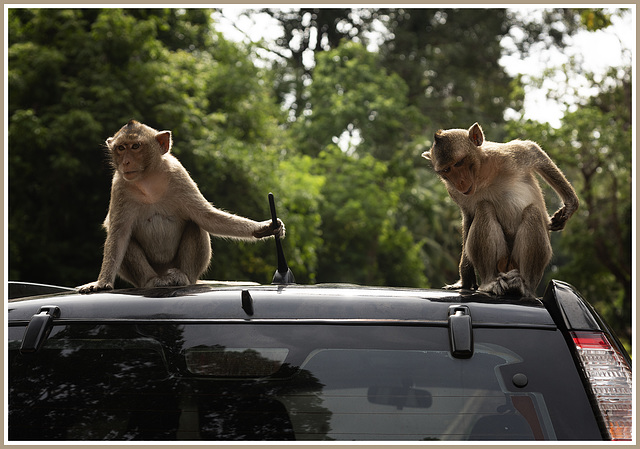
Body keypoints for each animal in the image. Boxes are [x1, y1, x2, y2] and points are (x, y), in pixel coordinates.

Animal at [77, 120, 282, 294]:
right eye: (120, 148)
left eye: (135, 146)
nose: (125, 162)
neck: (148, 180)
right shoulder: (119, 186)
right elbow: (118, 235)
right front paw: (102, 282)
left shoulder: (178, 174)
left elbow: (207, 216)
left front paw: (264, 227)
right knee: (127, 238)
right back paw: (152, 281)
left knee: (194, 224)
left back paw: (182, 277)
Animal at [420, 122, 580, 298]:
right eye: (446, 170)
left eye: (458, 163)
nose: (459, 182)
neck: (481, 176)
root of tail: (508, 268)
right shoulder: (454, 192)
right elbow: (469, 216)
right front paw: (465, 282)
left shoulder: (507, 155)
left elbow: (533, 151)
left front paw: (570, 206)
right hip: (501, 262)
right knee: (484, 207)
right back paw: (490, 281)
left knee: (533, 211)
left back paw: (524, 286)